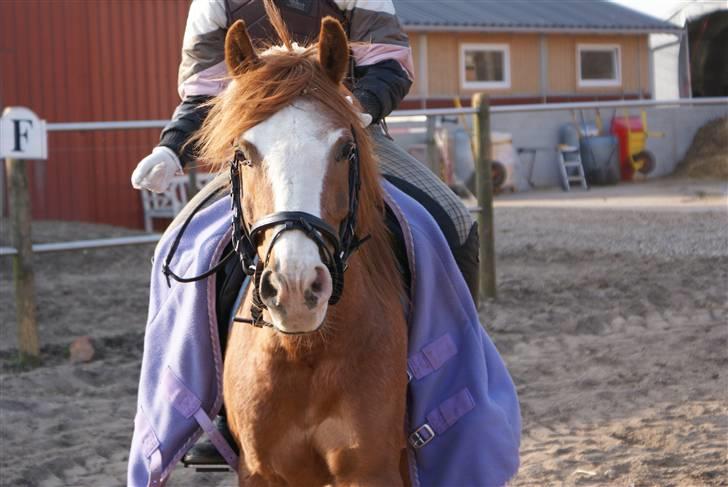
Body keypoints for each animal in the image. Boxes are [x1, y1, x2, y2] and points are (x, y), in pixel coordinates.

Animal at [192, 7, 410, 487]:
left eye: (345, 148)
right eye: (243, 153)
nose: (294, 288)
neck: (305, 351)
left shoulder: (373, 467)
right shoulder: (261, 471)